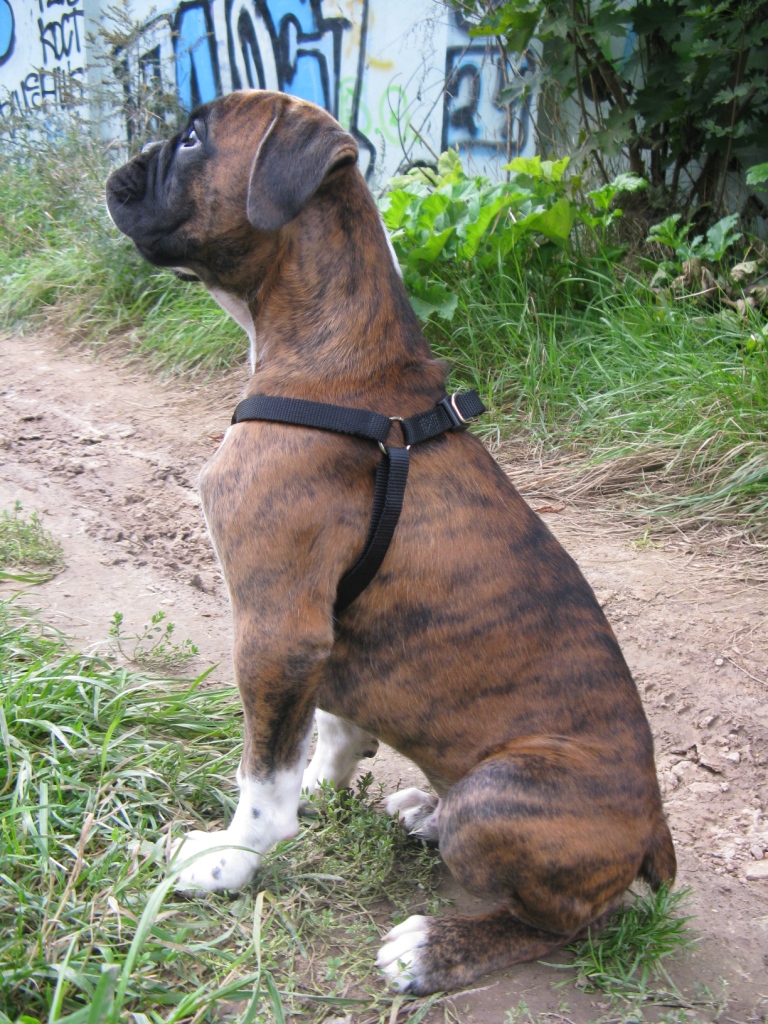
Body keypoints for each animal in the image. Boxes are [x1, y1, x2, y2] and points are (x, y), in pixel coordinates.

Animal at [105, 90, 675, 996]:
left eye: (193, 138)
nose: (116, 172)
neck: (338, 364)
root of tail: (654, 829)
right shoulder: (319, 642)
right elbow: (327, 730)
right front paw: (323, 777)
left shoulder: (276, 631)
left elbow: (261, 778)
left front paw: (227, 862)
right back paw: (423, 810)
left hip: (501, 796)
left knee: (569, 924)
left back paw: (436, 947)